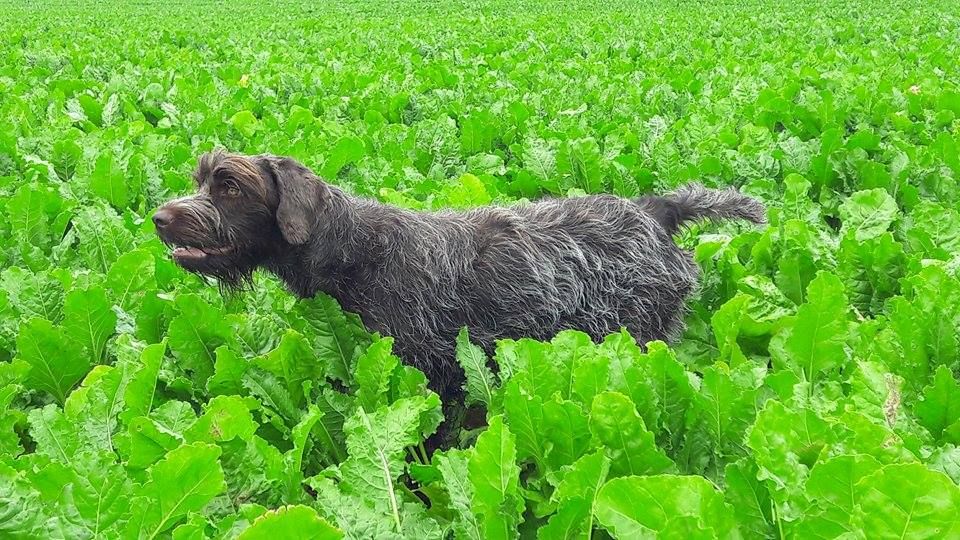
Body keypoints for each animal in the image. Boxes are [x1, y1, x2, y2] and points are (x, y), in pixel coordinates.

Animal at [156, 151, 764, 396]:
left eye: (230, 186)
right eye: (200, 178)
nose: (160, 219)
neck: (355, 248)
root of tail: (654, 209)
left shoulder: (435, 372)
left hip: (638, 336)